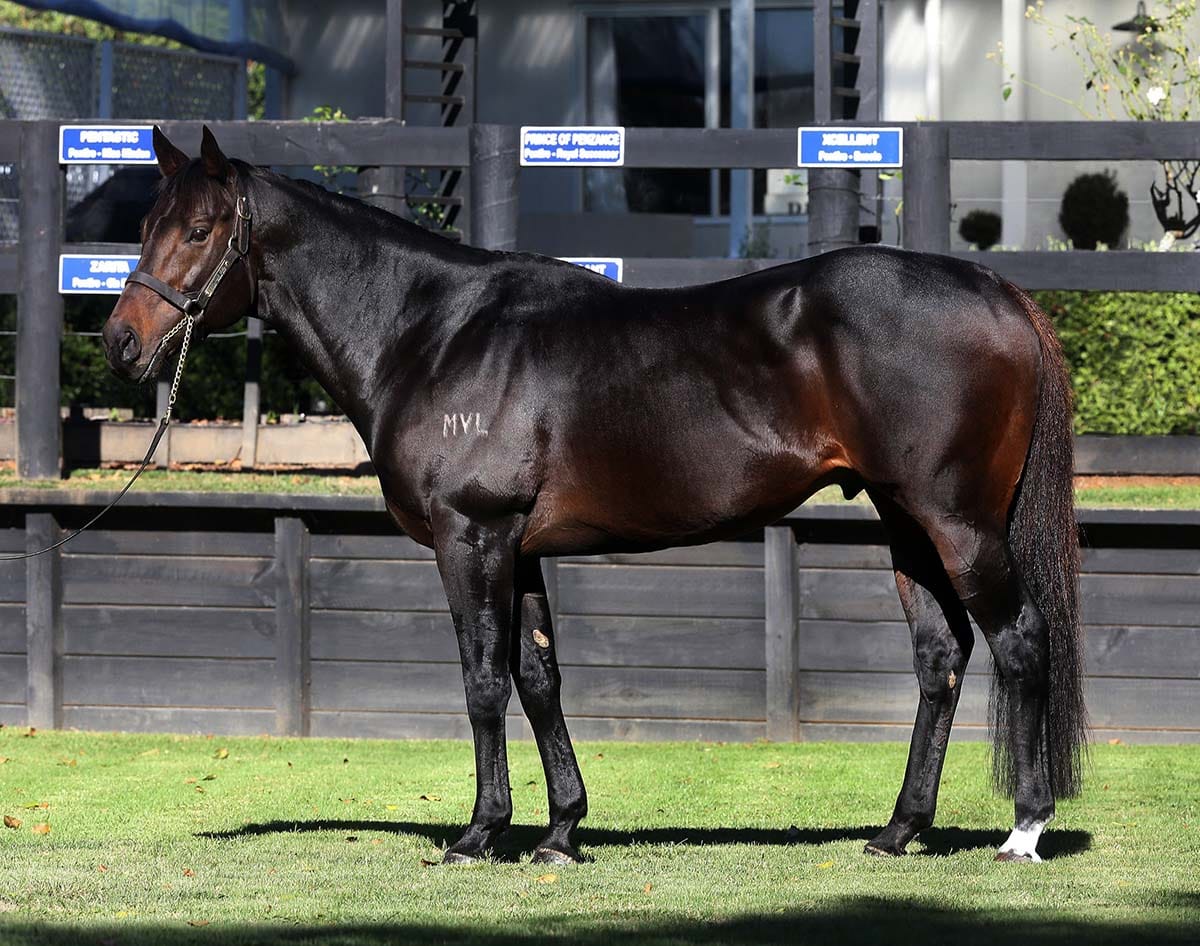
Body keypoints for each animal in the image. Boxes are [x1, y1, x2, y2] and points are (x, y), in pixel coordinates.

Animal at [101, 126, 1086, 866]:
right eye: (147, 221)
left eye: (199, 231)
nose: (120, 342)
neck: (432, 332)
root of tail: (996, 290)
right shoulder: (521, 547)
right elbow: (539, 679)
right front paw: (562, 831)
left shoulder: (473, 536)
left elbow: (483, 682)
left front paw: (479, 834)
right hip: (905, 521)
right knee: (941, 659)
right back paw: (897, 830)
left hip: (958, 522)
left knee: (1020, 640)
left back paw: (1025, 828)